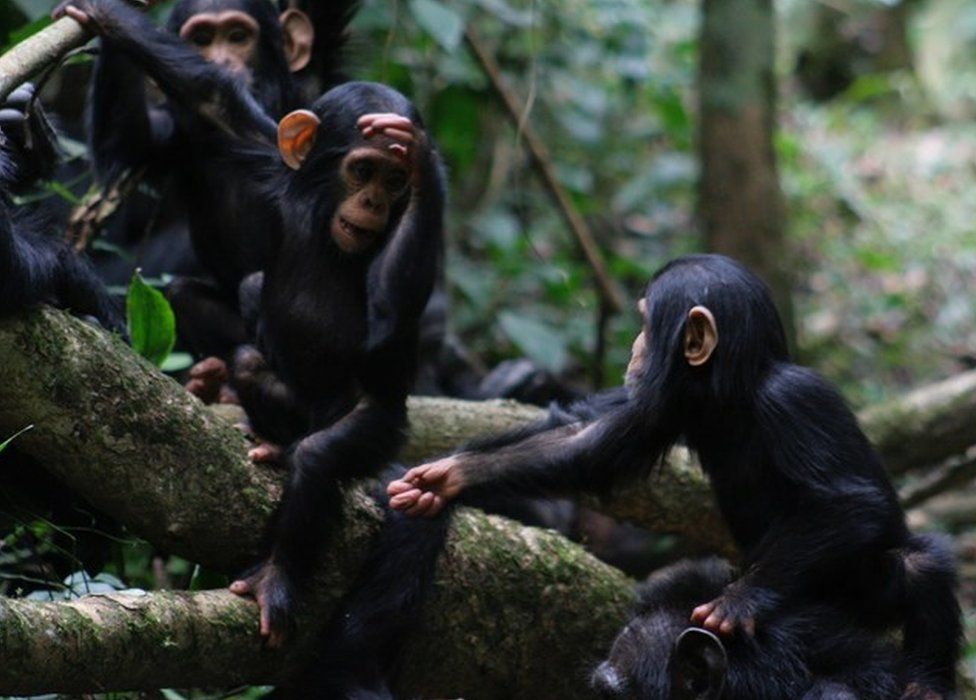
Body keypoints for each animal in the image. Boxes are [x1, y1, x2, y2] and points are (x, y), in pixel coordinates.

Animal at [55, 0, 444, 648]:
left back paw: (277, 573)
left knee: (323, 459)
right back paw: (268, 437)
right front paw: (110, 19)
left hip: (378, 426)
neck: (319, 214)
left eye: (393, 182)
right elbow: (211, 101)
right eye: (362, 171)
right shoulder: (261, 152)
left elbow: (393, 308)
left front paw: (424, 163)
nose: (374, 203)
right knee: (251, 352)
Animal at [388, 256, 960, 700]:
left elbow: (849, 502)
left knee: (919, 565)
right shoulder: (666, 403)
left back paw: (926, 683)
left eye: (646, 322)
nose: (635, 348)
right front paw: (448, 477)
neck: (733, 392)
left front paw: (738, 600)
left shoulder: (796, 401)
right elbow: (588, 445)